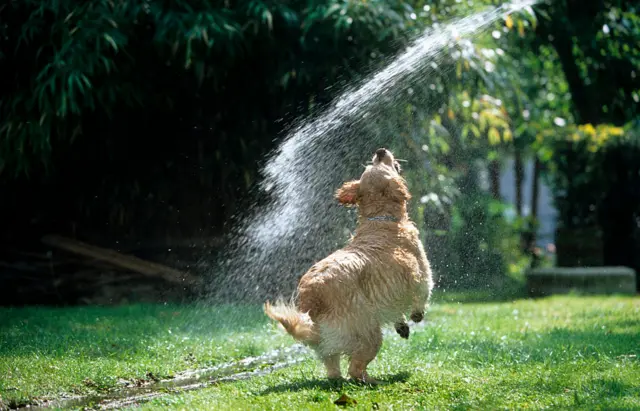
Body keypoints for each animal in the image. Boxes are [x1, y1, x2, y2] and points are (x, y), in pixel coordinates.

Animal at [262, 149, 432, 386]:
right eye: (382, 164)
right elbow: (422, 295)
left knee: (334, 372)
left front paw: (402, 325)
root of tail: (312, 299)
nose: (380, 151)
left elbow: (397, 309)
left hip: (329, 348)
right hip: (369, 334)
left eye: (372, 165)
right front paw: (416, 316)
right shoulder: (421, 274)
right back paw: (373, 381)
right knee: (355, 369)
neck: (379, 219)